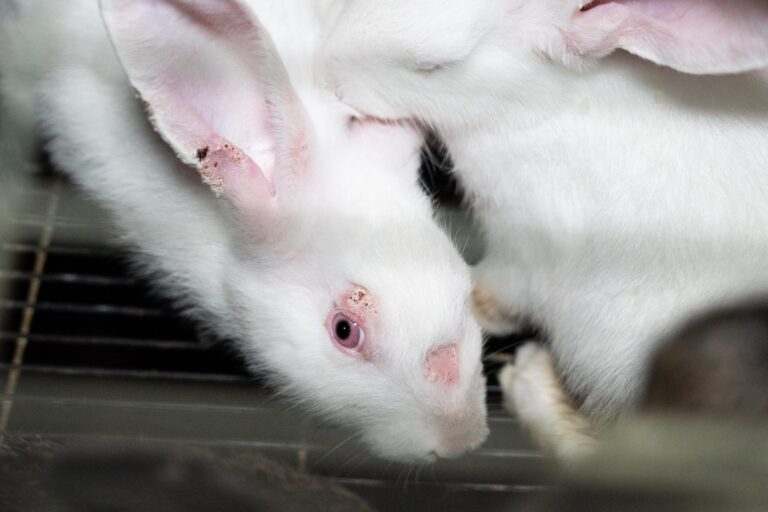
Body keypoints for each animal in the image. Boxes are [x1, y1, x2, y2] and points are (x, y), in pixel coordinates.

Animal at [322, 0, 768, 449]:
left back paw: (530, 384)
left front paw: (475, 303)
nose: (329, 78)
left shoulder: (525, 248)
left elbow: (498, 291)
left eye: (433, 66)